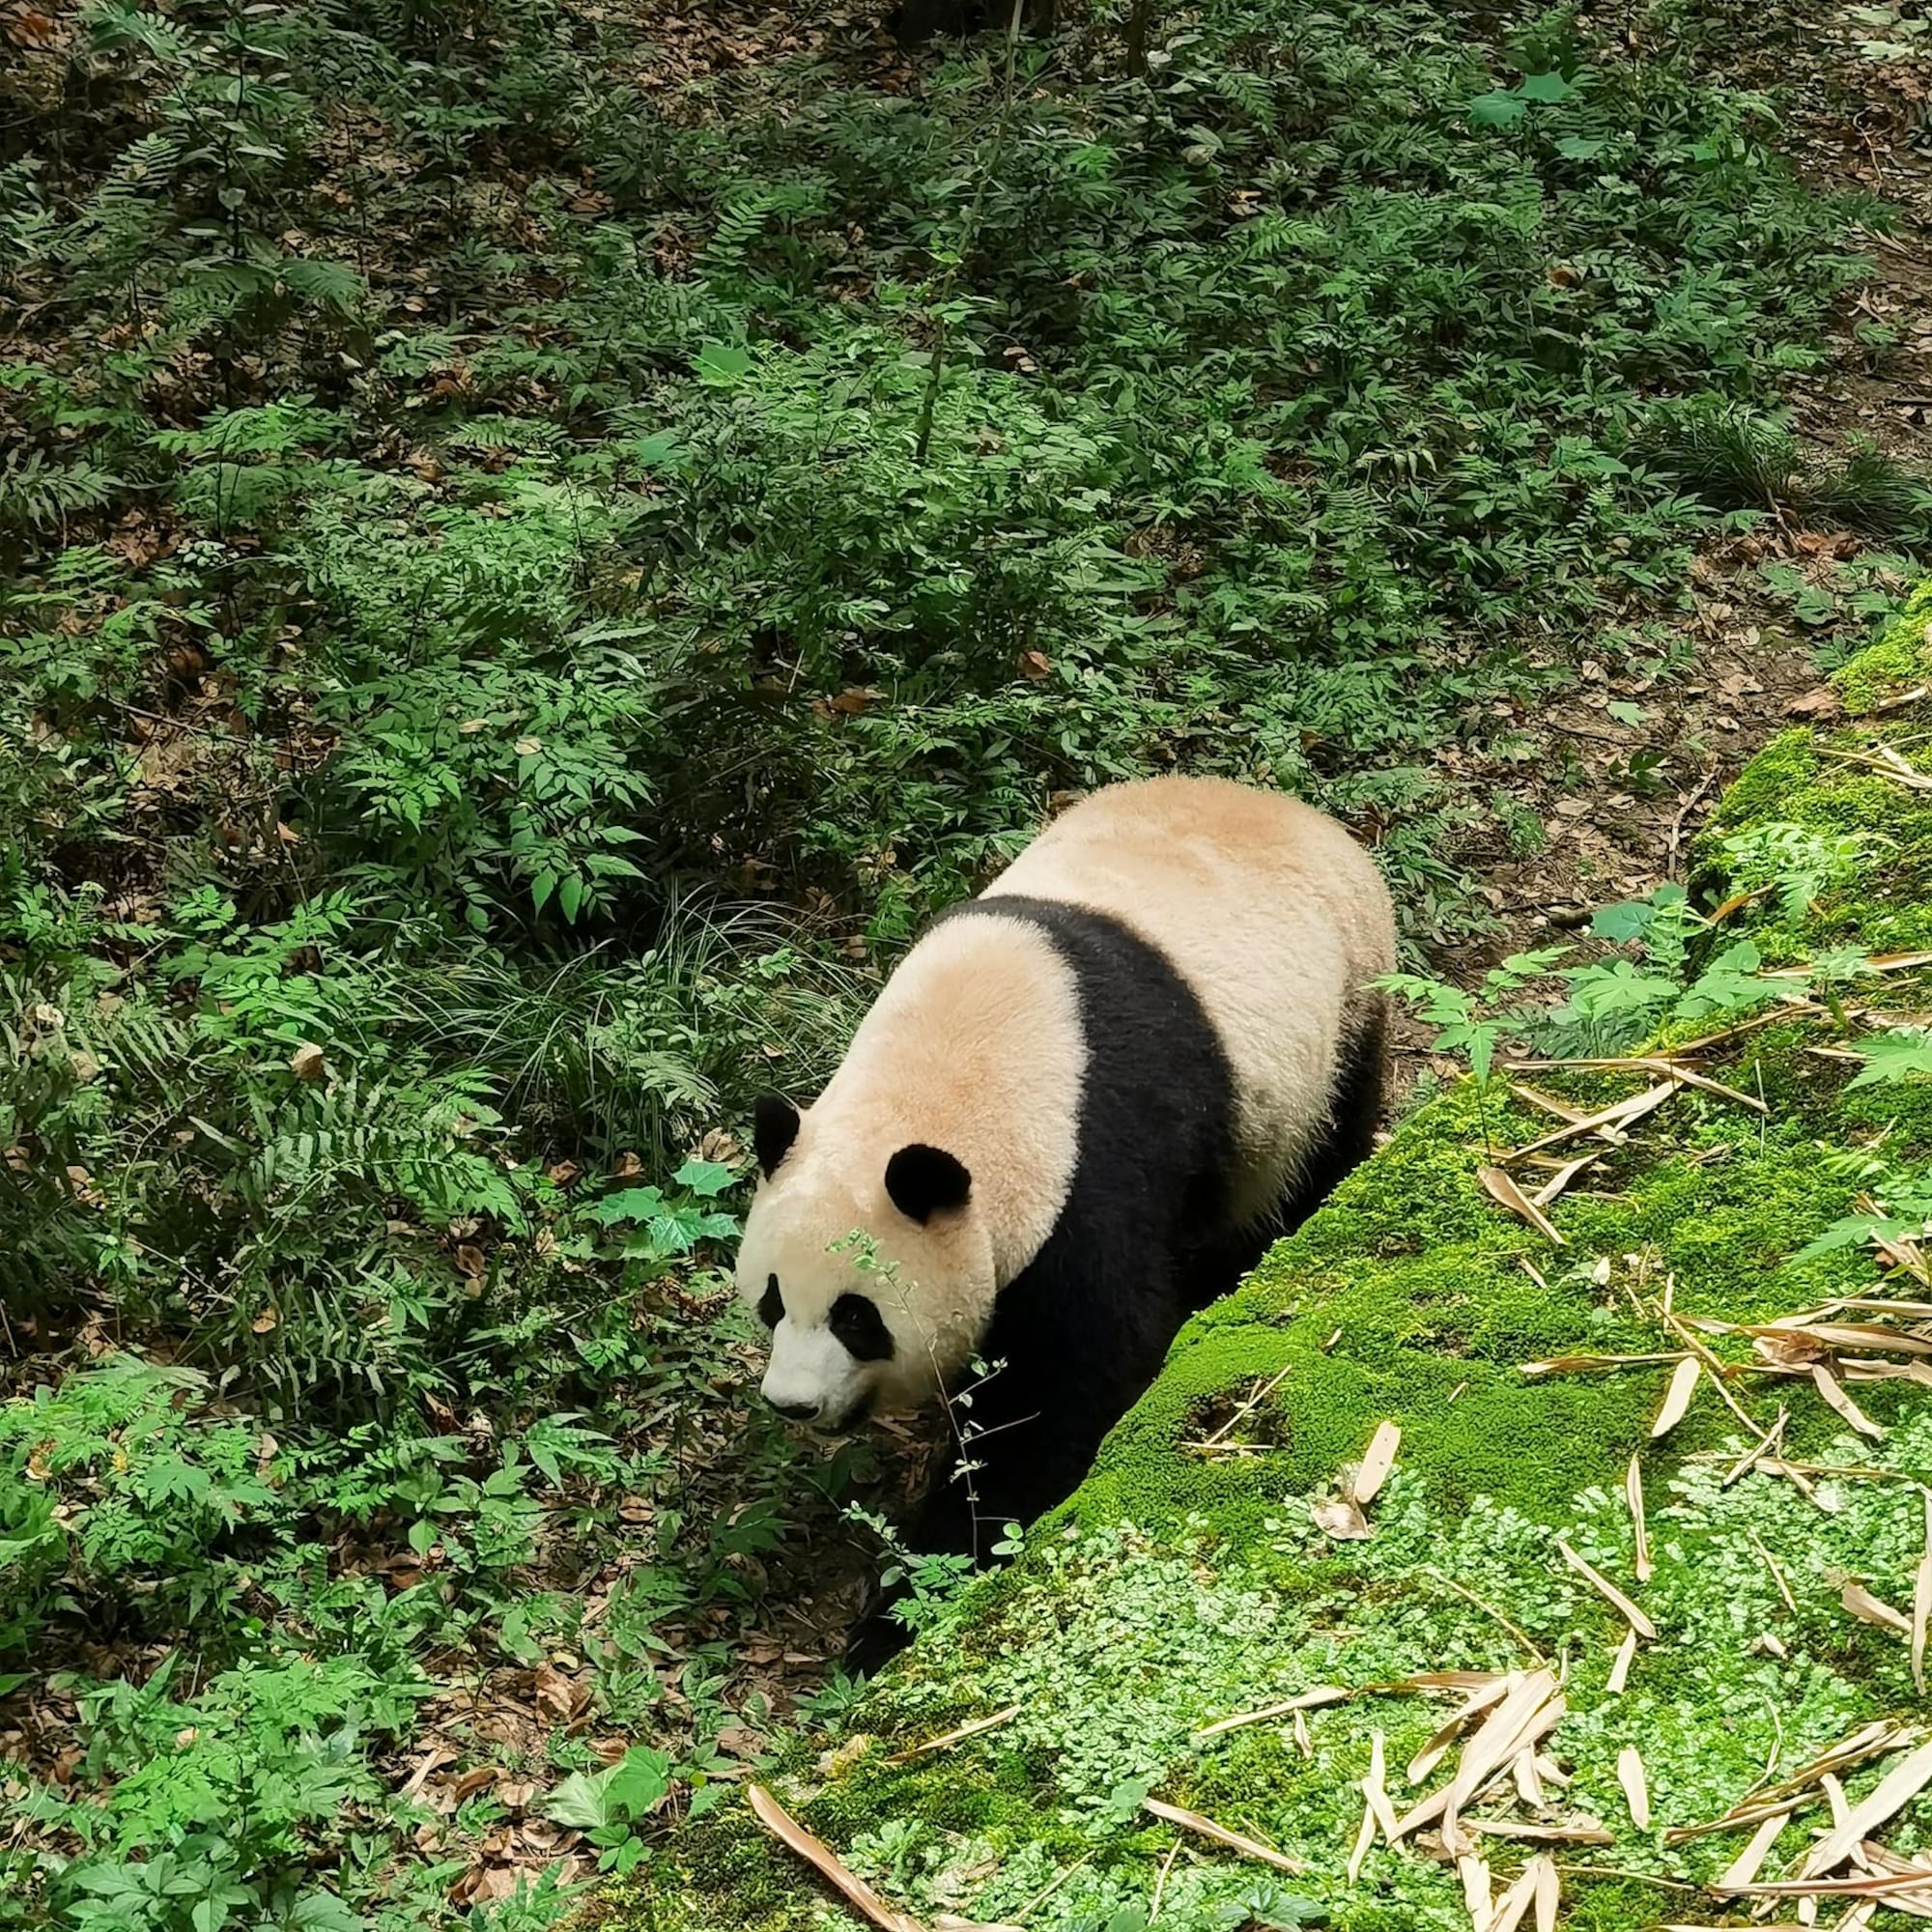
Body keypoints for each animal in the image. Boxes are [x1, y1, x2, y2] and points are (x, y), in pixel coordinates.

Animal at [737, 776, 1396, 1668]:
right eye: (772, 1300)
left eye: (856, 1318)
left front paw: (898, 1612)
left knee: (1314, 1161)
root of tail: (1305, 814)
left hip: (1337, 1019)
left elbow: (1072, 1386)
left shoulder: (1091, 1171)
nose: (794, 1405)